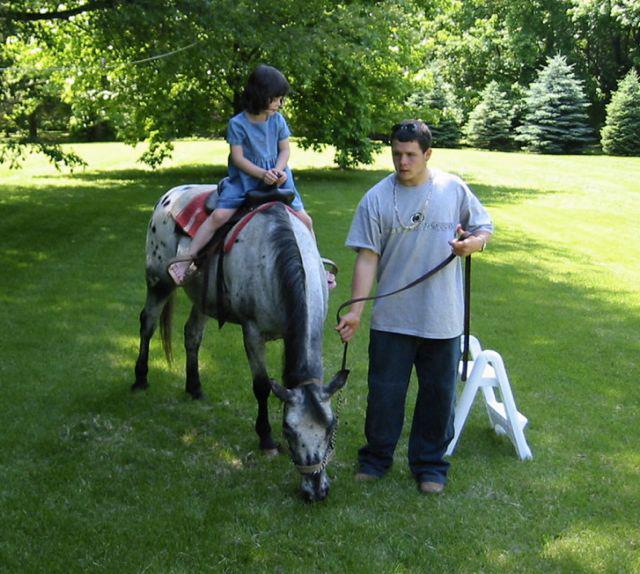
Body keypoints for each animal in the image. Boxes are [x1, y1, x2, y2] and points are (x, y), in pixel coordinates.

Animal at [133, 185, 347, 502]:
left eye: (331, 428)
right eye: (288, 430)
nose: (316, 489)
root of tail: (171, 194)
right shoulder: (252, 332)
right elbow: (261, 386)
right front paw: (266, 438)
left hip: (202, 299)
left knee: (192, 335)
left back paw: (194, 387)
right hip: (159, 282)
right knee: (147, 323)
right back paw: (140, 378)